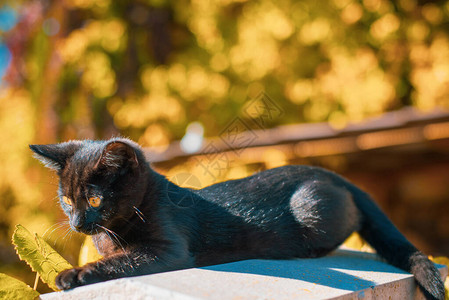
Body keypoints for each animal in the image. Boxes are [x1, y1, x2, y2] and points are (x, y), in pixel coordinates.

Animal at [30, 139, 444, 300]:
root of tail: (334, 175)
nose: (78, 223)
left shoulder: (169, 249)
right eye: (66, 201)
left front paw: (72, 275)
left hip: (310, 207)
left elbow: (118, 262)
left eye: (95, 199)